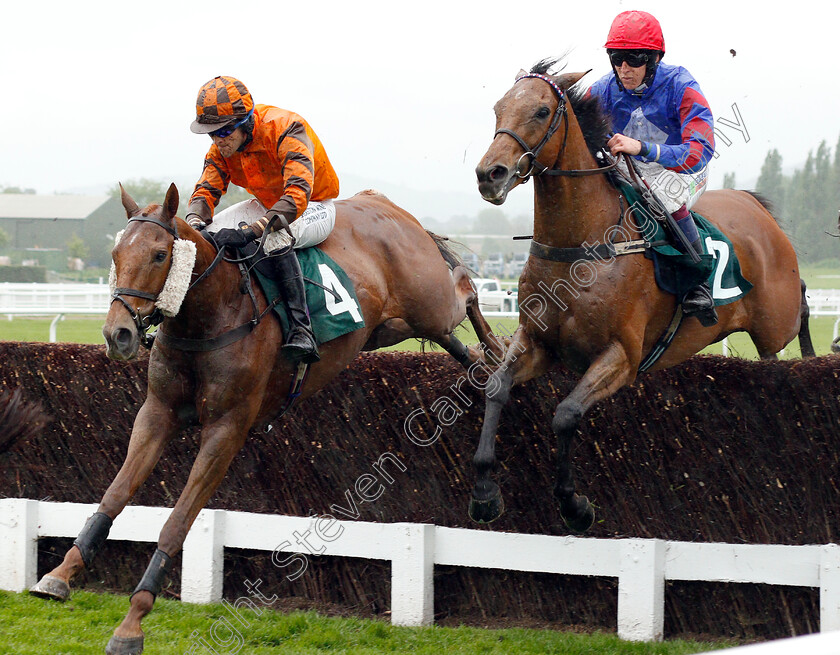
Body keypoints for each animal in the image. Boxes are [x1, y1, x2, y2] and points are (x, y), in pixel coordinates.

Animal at [32, 184, 502, 655]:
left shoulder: (227, 427)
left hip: (430, 304)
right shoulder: (156, 413)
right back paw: (491, 386)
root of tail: (384, 203)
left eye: (160, 255)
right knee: (465, 351)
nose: (118, 335)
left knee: (466, 287)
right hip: (390, 328)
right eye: (115, 254)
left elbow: (177, 522)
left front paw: (132, 622)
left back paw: (502, 356)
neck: (211, 313)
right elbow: (114, 495)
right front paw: (59, 574)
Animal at [472, 59, 812, 532]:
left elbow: (566, 414)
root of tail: (755, 207)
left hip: (774, 330)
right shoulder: (537, 341)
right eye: (497, 108)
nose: (490, 175)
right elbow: (496, 387)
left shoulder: (622, 356)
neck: (581, 246)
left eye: (541, 111)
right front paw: (485, 491)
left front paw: (574, 504)